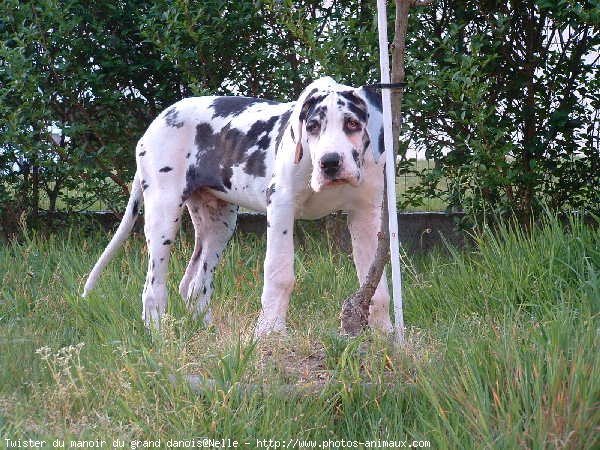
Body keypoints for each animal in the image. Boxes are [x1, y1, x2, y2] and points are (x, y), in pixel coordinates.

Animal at [84, 77, 394, 336]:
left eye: (352, 123)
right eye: (313, 126)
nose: (330, 163)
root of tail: (157, 121)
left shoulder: (365, 216)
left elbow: (376, 283)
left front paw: (387, 337)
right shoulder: (281, 208)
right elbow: (279, 274)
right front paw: (270, 334)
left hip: (219, 225)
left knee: (195, 284)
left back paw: (207, 333)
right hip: (164, 215)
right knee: (153, 287)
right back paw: (160, 337)